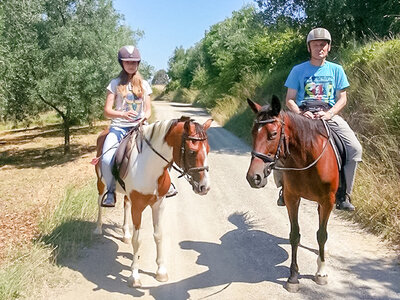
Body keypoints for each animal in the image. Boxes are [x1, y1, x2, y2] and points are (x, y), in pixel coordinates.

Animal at [94, 116, 214, 288]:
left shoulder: (159, 204)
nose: (205, 187)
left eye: (208, 150)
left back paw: (125, 234)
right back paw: (98, 228)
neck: (149, 166)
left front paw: (161, 271)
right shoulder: (138, 207)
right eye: (192, 151)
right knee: (99, 202)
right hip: (101, 183)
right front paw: (134, 276)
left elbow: (158, 235)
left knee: (125, 204)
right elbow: (138, 240)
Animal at [247, 96, 338, 292]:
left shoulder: (327, 200)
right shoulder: (292, 198)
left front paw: (321, 272)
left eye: (273, 134)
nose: (253, 177)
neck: (308, 157)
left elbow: (321, 234)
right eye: (252, 133)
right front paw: (293, 277)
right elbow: (294, 235)